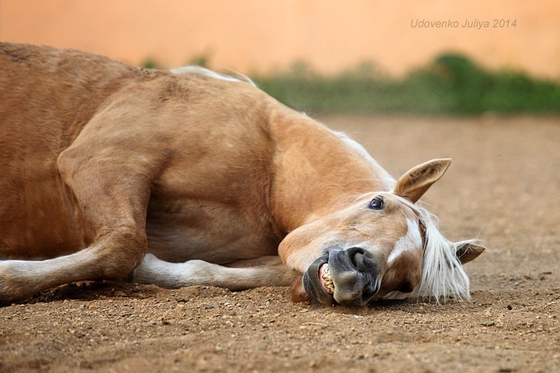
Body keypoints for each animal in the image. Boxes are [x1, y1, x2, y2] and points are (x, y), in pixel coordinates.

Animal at [0, 43, 484, 306]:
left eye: (405, 283)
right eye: (376, 202)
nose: (360, 277)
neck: (266, 158)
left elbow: (215, 271)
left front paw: (158, 270)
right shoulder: (98, 161)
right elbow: (123, 244)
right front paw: (8, 279)